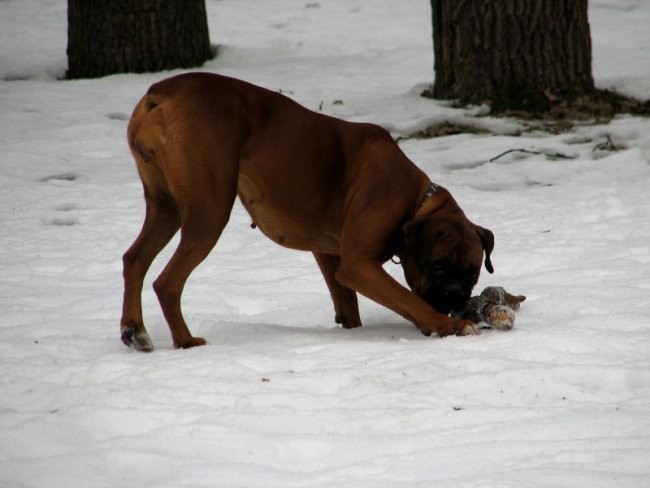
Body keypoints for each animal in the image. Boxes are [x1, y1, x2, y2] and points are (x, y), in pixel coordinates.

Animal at [120, 72, 492, 350]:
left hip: (165, 208)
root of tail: (160, 92)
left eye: (473, 273)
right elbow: (407, 299)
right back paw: (185, 341)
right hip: (208, 211)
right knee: (167, 282)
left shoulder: (331, 256)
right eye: (438, 265)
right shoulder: (358, 265)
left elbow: (347, 305)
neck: (415, 199)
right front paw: (449, 326)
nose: (456, 296)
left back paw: (134, 330)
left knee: (134, 259)